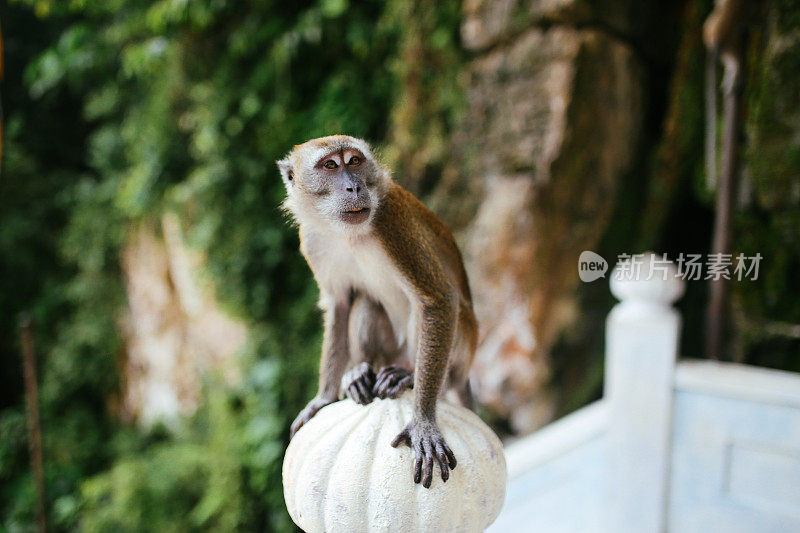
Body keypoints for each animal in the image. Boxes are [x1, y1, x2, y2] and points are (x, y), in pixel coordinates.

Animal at [280, 136, 476, 486]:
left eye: (354, 161)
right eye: (330, 165)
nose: (354, 187)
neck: (346, 233)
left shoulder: (392, 223)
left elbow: (437, 299)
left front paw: (423, 422)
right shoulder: (313, 240)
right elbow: (340, 305)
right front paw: (324, 396)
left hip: (458, 347)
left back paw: (407, 375)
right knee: (365, 301)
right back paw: (361, 370)